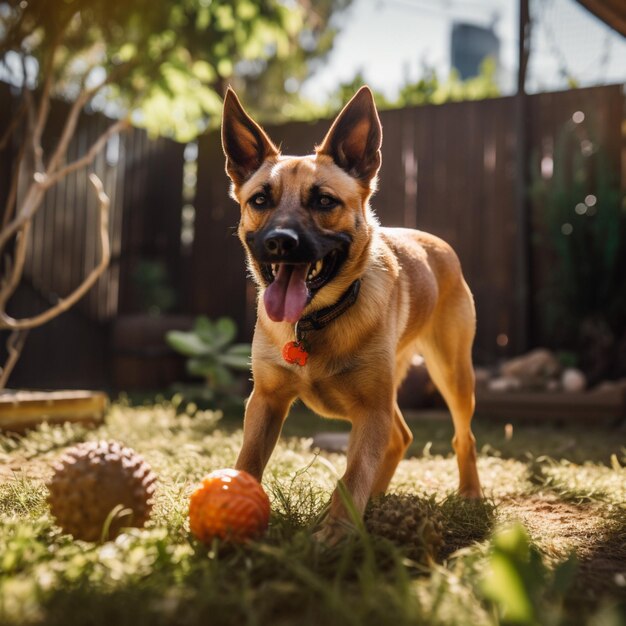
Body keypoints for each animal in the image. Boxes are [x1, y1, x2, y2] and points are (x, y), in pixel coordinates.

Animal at [222, 84, 480, 540]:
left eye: (325, 201)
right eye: (260, 200)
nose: (279, 242)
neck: (314, 321)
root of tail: (437, 242)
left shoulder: (371, 409)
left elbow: (353, 473)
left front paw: (334, 533)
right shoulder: (265, 402)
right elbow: (248, 463)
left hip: (452, 375)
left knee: (461, 438)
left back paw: (469, 493)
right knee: (400, 437)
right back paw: (375, 502)